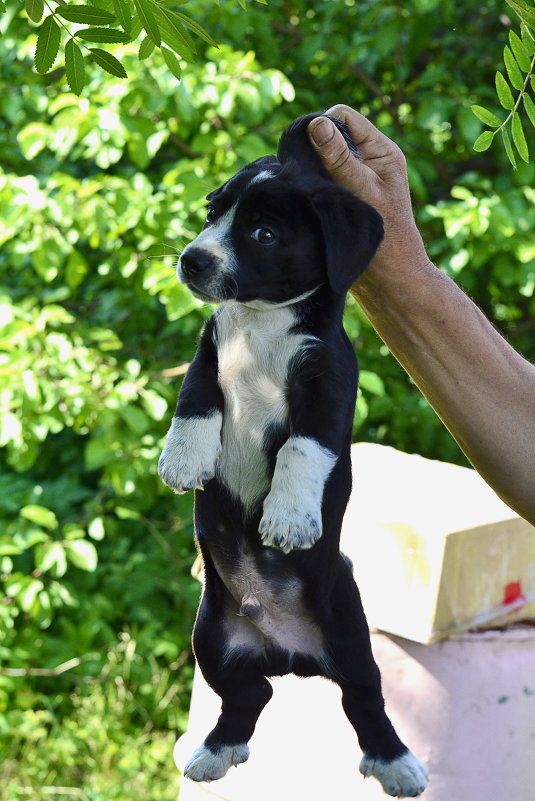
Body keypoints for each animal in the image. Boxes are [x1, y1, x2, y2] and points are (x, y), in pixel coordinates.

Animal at [157, 114, 430, 800]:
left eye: (263, 233)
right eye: (212, 211)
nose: (192, 260)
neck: (262, 324)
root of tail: (288, 653)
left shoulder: (328, 385)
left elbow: (303, 452)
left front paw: (286, 518)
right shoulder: (208, 354)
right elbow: (193, 402)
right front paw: (182, 460)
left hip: (351, 635)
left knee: (364, 701)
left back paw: (396, 763)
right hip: (213, 638)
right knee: (248, 695)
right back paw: (216, 752)